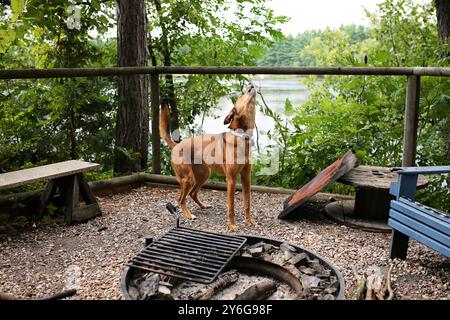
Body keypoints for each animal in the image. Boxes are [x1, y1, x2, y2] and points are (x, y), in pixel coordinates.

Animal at [160, 84, 256, 230]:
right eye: (241, 95)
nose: (250, 84)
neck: (241, 136)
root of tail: (176, 145)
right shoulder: (231, 179)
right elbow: (231, 207)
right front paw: (232, 225)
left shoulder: (246, 177)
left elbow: (247, 203)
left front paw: (249, 221)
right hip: (188, 179)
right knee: (181, 199)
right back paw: (189, 215)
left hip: (204, 174)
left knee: (192, 193)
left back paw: (203, 206)